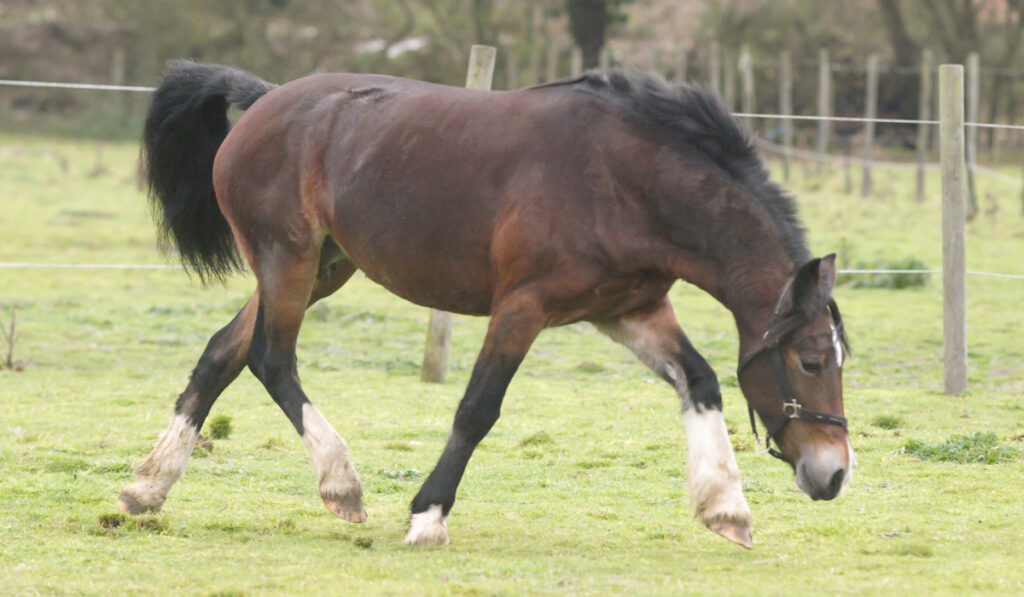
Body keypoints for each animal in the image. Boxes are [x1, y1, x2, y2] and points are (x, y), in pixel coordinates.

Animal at [121, 58, 856, 548]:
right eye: (813, 360)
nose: (834, 475)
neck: (624, 179)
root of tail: (266, 98)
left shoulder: (629, 309)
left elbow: (701, 381)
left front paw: (726, 507)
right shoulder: (523, 308)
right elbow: (478, 408)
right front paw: (427, 516)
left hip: (324, 267)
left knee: (223, 353)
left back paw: (148, 485)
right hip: (288, 261)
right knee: (271, 359)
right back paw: (341, 485)